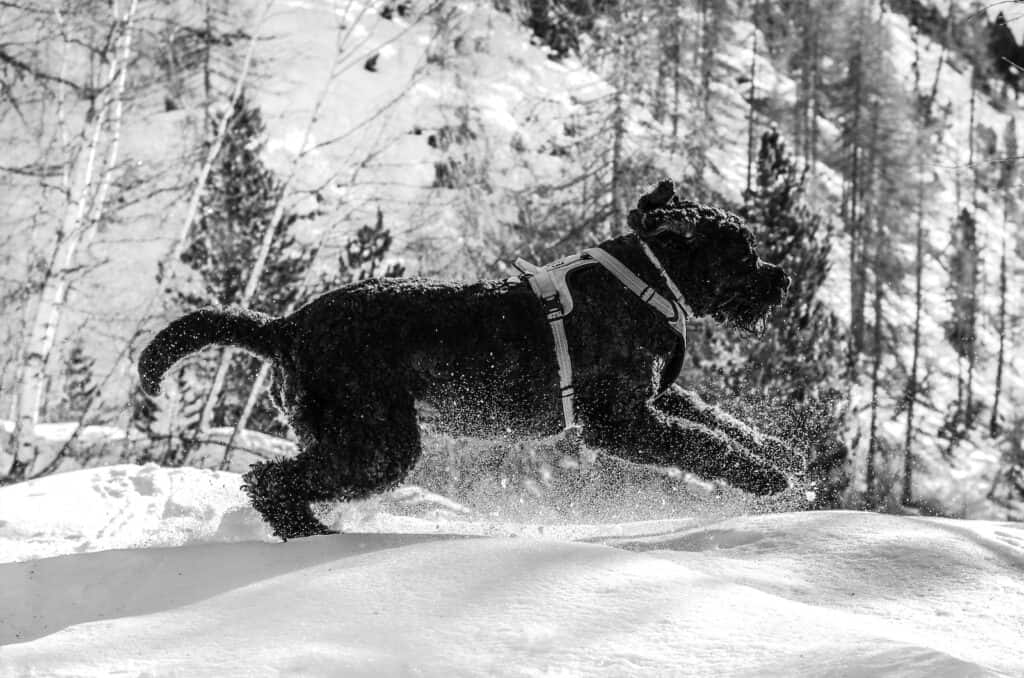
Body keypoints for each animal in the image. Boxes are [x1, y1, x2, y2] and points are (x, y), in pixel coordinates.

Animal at [140, 182, 790, 540]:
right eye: (743, 252)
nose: (780, 280)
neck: (648, 278)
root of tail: (287, 327)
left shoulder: (658, 397)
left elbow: (720, 422)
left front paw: (783, 451)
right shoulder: (618, 421)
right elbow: (702, 445)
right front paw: (769, 480)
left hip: (347, 434)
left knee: (277, 479)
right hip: (379, 441)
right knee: (268, 480)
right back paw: (316, 536)